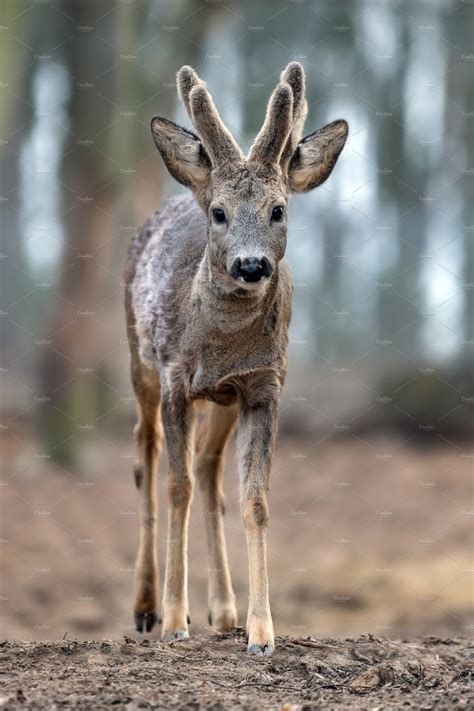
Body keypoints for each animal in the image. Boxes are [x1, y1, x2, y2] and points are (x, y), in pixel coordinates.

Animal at [124, 62, 348, 656]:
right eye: (221, 213)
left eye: (278, 209)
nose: (251, 265)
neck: (220, 343)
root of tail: (184, 191)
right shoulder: (177, 377)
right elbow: (175, 487)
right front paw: (175, 622)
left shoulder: (263, 385)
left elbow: (254, 499)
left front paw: (262, 633)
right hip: (137, 354)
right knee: (147, 453)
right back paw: (147, 606)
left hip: (222, 400)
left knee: (207, 465)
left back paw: (223, 611)